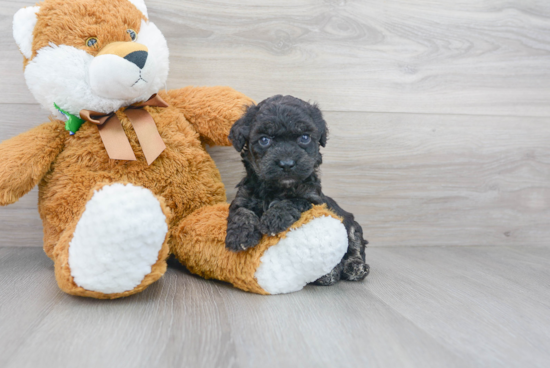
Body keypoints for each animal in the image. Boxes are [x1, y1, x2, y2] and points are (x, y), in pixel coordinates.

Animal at [224, 94, 370, 284]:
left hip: (351, 223)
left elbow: (293, 201)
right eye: (264, 140)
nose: (286, 164)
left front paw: (274, 218)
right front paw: (240, 235)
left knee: (355, 246)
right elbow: (241, 211)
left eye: (304, 138)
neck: (277, 188)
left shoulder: (313, 199)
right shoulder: (243, 196)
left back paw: (351, 267)